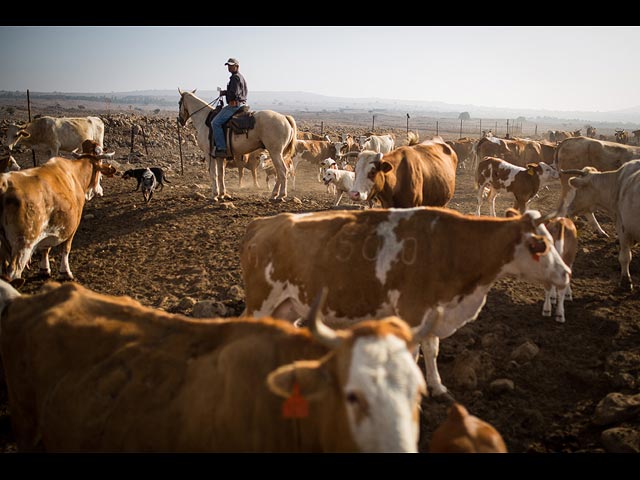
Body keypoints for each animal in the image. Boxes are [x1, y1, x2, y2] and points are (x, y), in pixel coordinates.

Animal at [0, 150, 117, 286]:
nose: (100, 191)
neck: (75, 174)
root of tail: (4, 184)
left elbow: (45, 248)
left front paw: (44, 269)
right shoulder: (73, 225)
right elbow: (66, 248)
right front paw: (65, 272)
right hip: (23, 245)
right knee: (13, 272)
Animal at [241, 206, 568, 398]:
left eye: (554, 240)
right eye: (541, 245)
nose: (566, 273)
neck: (450, 247)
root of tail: (264, 222)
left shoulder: (433, 311)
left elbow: (432, 349)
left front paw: (437, 386)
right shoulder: (411, 313)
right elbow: (412, 353)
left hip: (286, 306)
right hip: (261, 301)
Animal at [556, 160, 640, 288]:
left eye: (578, 190)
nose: (569, 209)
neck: (618, 184)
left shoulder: (623, 227)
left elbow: (625, 256)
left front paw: (626, 281)